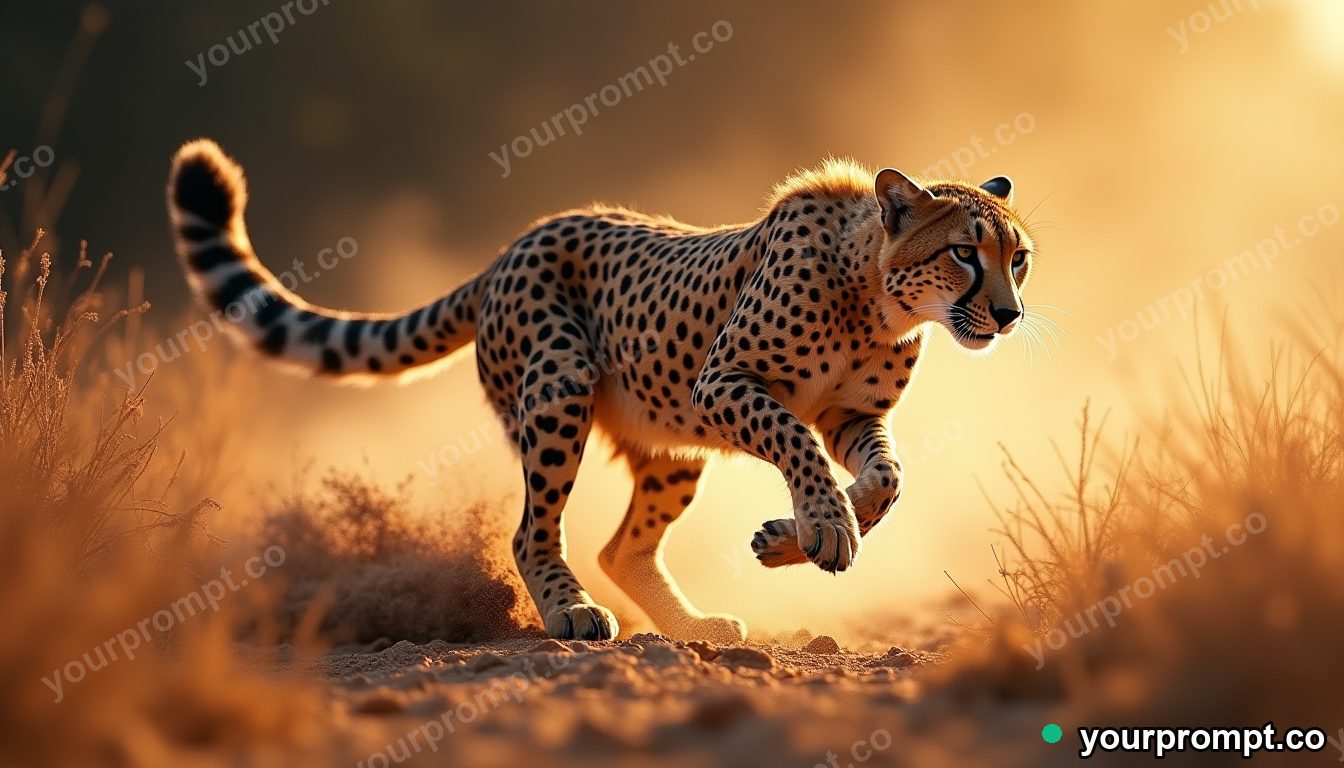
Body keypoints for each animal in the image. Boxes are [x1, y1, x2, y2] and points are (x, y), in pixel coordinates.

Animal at [167, 139, 1036, 643]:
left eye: (1018, 256)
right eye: (964, 252)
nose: (1009, 314)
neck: (877, 298)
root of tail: (515, 243)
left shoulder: (850, 415)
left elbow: (886, 477)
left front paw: (790, 536)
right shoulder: (723, 381)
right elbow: (799, 444)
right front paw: (821, 525)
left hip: (672, 446)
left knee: (622, 546)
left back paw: (692, 625)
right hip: (560, 382)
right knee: (531, 530)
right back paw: (569, 612)